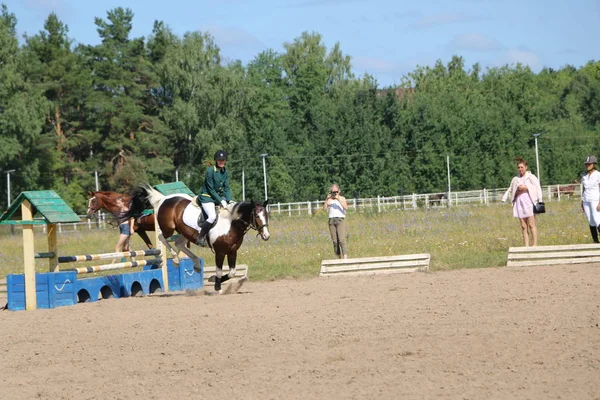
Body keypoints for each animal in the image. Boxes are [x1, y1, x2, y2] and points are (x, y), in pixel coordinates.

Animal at [126, 185, 272, 294]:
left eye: (266, 215)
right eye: (257, 216)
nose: (266, 235)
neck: (231, 224)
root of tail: (163, 198)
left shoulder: (232, 251)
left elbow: (232, 272)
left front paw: (213, 279)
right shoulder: (220, 252)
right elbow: (219, 270)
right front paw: (217, 287)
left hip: (184, 233)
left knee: (179, 243)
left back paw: (196, 264)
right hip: (169, 229)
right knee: (162, 237)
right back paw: (176, 260)